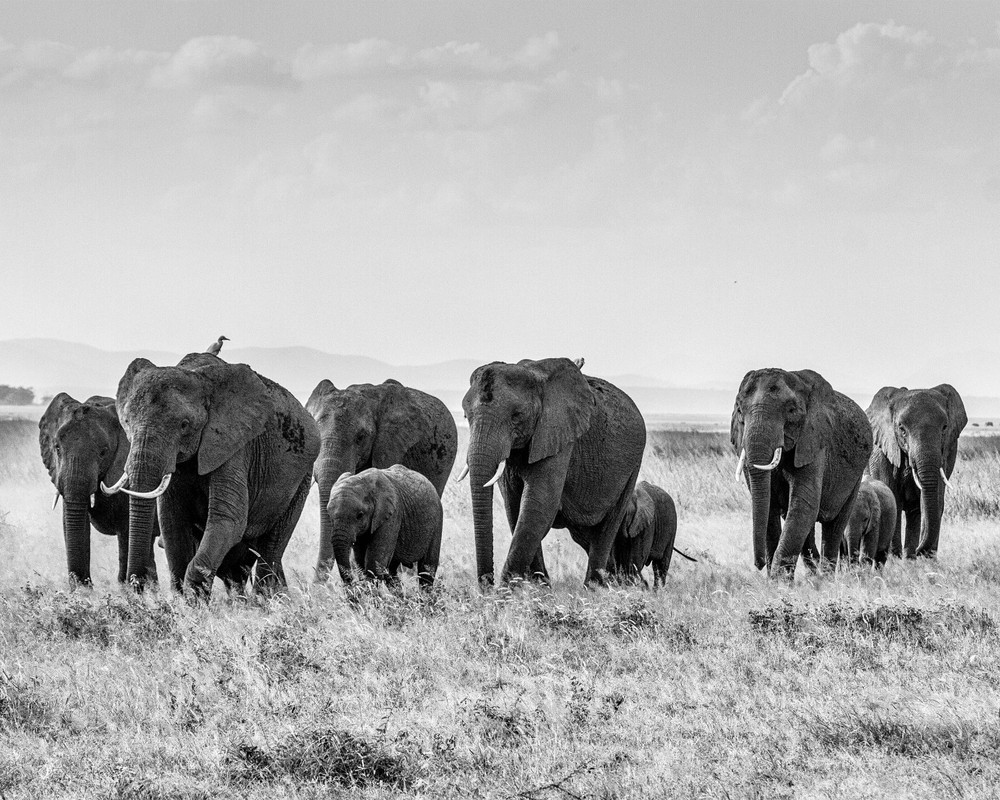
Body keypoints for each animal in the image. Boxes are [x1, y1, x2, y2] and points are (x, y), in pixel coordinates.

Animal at [106, 352, 320, 595]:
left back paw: (266, 600)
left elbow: (228, 521)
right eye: (126, 422)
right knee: (236, 569)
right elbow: (172, 523)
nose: (136, 584)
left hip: (302, 478)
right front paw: (183, 600)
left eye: (184, 425)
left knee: (271, 550)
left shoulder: (233, 445)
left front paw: (194, 597)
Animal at [461, 357, 646, 587]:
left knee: (607, 527)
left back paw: (595, 587)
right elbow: (515, 506)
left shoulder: (559, 436)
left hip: (632, 467)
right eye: (466, 415)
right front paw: (539, 587)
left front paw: (507, 592)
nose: (486, 586)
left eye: (516, 416)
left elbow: (538, 505)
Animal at [731, 368, 873, 578]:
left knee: (835, 525)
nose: (759, 564)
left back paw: (826, 577)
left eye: (791, 411)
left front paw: (779, 581)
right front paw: (774, 580)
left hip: (855, 478)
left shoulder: (814, 441)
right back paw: (815, 573)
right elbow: (771, 507)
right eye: (740, 411)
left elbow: (803, 503)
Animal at [866, 384, 967, 558]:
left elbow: (934, 499)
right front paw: (895, 558)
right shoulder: (881, 454)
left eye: (945, 427)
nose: (921, 551)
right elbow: (893, 500)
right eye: (901, 429)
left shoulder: (948, 451)